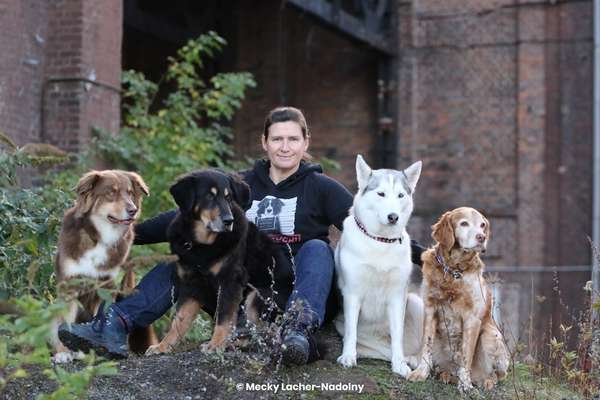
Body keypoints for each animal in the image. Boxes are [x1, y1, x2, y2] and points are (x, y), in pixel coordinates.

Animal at [51, 169, 155, 362]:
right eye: (111, 193)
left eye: (130, 193)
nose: (133, 210)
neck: (100, 238)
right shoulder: (69, 284)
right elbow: (65, 320)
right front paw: (63, 352)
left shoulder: (109, 284)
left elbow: (102, 316)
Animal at [148, 169, 292, 354]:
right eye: (209, 196)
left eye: (228, 197)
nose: (228, 221)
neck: (202, 244)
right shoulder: (190, 284)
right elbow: (179, 320)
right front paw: (163, 346)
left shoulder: (230, 280)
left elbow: (224, 318)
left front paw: (216, 345)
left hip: (258, 295)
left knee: (268, 333)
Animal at [408, 208, 506, 392]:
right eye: (464, 223)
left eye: (482, 225)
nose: (482, 237)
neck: (453, 270)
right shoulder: (430, 309)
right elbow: (426, 346)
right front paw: (420, 373)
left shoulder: (472, 319)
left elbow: (466, 355)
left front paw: (465, 385)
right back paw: (447, 375)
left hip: (492, 335)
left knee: (497, 375)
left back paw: (486, 381)